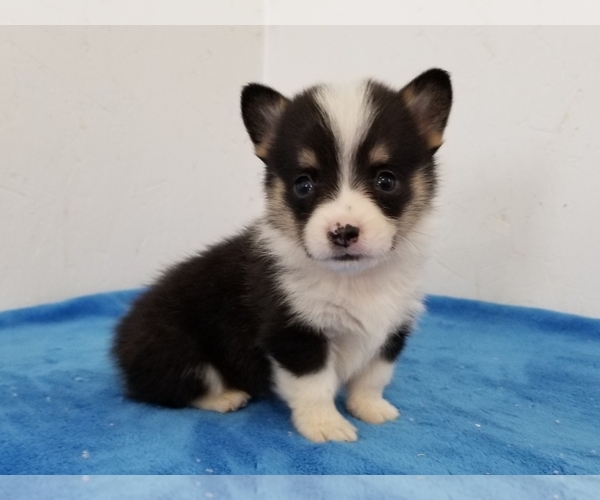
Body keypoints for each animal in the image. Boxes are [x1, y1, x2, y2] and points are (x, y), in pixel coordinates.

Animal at [112, 68, 452, 444]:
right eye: (303, 185)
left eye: (386, 180)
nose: (343, 232)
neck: (354, 280)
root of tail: (121, 343)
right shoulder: (293, 332)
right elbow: (315, 386)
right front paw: (326, 426)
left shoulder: (392, 330)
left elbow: (373, 377)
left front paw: (371, 409)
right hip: (177, 349)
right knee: (173, 389)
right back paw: (226, 397)